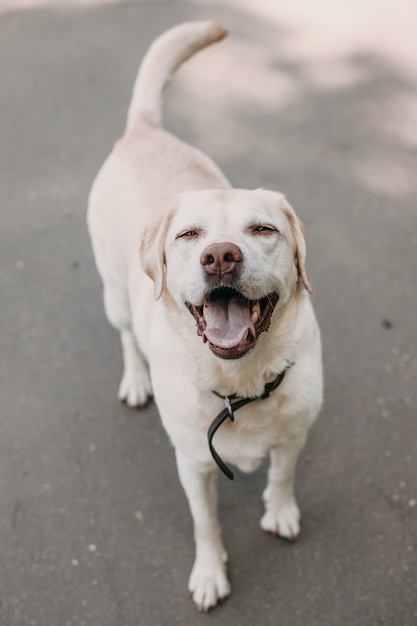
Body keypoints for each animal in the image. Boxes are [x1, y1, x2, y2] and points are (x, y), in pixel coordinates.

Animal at [87, 22, 322, 612]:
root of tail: (144, 130)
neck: (241, 384)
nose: (219, 257)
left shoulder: (295, 435)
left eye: (263, 229)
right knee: (127, 337)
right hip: (115, 295)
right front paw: (211, 572)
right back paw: (135, 378)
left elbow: (282, 476)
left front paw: (280, 511)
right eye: (189, 235)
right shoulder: (193, 466)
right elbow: (205, 524)